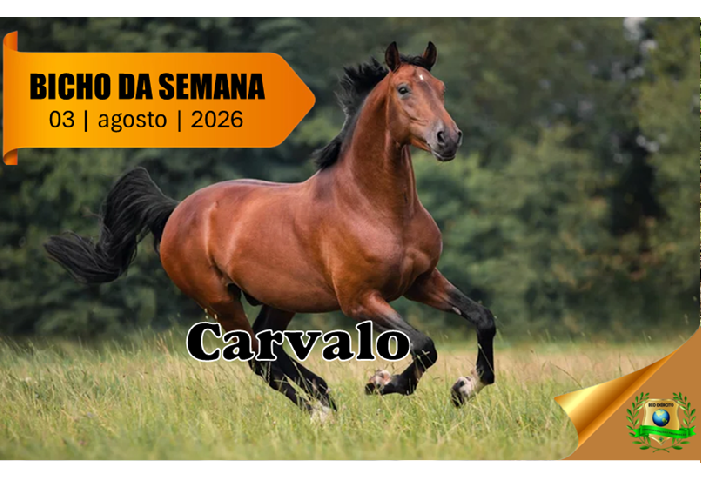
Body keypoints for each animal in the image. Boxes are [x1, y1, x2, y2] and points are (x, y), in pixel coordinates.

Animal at [45, 41, 497, 417]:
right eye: (403, 89)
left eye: (439, 87)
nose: (448, 138)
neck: (375, 208)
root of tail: (176, 211)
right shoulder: (360, 300)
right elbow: (423, 345)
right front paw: (381, 382)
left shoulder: (421, 280)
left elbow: (482, 318)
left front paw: (465, 387)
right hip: (220, 302)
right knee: (256, 357)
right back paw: (320, 408)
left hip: (279, 299)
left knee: (266, 346)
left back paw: (321, 393)